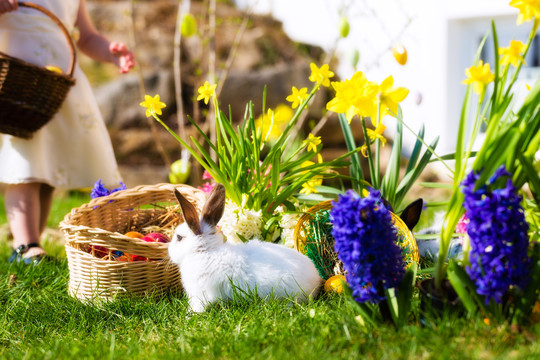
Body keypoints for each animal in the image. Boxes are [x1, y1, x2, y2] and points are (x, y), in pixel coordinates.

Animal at [169, 184, 322, 314]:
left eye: (179, 237)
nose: (169, 252)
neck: (205, 250)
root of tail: (316, 279)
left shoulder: (202, 294)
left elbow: (199, 307)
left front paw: (190, 315)